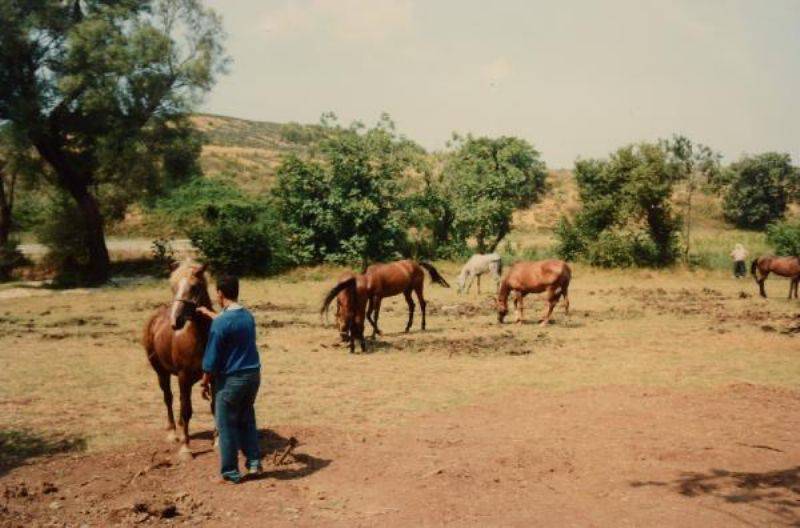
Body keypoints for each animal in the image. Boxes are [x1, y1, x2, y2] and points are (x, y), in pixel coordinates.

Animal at [143, 262, 212, 460]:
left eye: (195, 287)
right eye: (173, 287)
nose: (176, 321)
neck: (198, 338)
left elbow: (214, 407)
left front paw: (218, 441)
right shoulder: (184, 377)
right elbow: (186, 410)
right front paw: (186, 449)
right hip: (162, 373)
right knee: (169, 398)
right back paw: (173, 432)